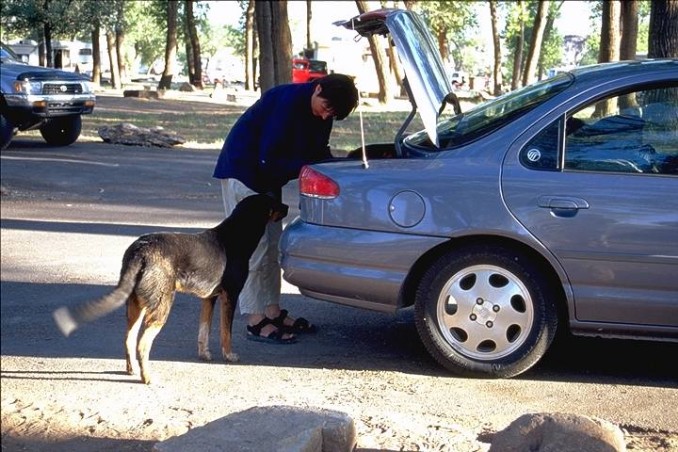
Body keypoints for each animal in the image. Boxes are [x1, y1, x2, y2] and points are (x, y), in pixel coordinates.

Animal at [52, 194, 286, 384]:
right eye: (273, 202)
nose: (287, 207)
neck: (236, 235)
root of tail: (141, 251)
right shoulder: (230, 296)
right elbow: (225, 333)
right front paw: (229, 356)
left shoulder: (209, 298)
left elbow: (204, 331)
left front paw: (204, 355)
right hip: (161, 305)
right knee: (142, 344)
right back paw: (147, 378)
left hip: (137, 306)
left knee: (128, 339)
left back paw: (132, 370)